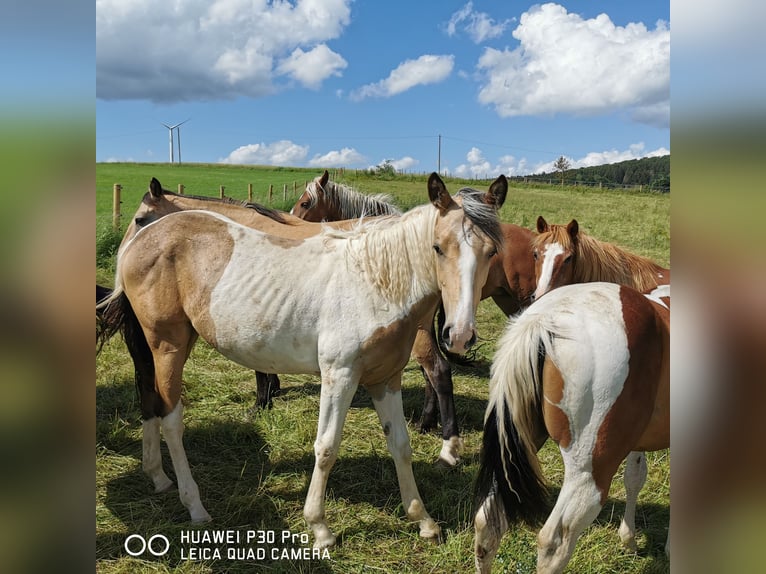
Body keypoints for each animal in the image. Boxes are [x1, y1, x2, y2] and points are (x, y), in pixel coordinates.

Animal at [98, 174, 506, 548]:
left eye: (491, 252)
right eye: (438, 247)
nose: (460, 334)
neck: (375, 282)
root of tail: (138, 244)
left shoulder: (385, 379)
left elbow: (401, 446)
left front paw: (423, 521)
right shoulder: (340, 375)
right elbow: (326, 448)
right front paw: (320, 529)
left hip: (162, 346)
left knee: (150, 400)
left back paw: (158, 477)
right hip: (168, 345)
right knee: (171, 419)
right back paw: (194, 505)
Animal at [473, 281, 670, 573]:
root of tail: (546, 319)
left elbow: (635, 477)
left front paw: (630, 540)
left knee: (487, 522)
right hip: (588, 473)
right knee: (554, 543)